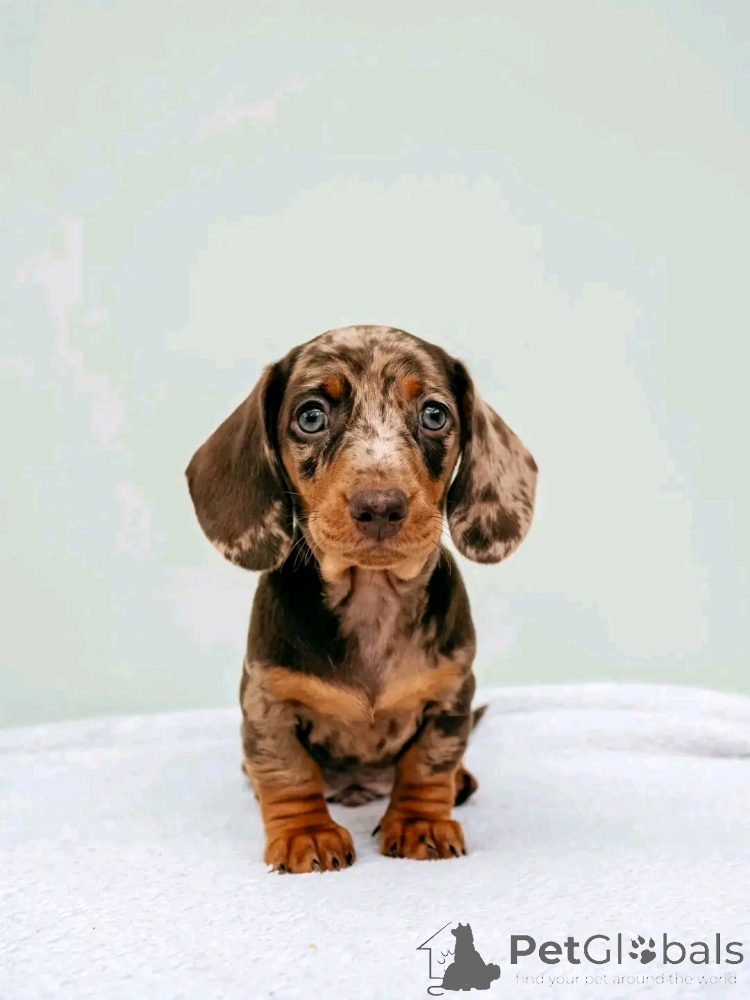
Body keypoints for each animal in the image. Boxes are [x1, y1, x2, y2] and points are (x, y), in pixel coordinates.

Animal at [185, 325, 537, 873]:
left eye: (434, 414)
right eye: (311, 416)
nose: (380, 507)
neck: (372, 596)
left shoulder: (450, 694)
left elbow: (427, 765)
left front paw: (420, 823)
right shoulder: (268, 700)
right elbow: (287, 771)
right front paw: (306, 833)